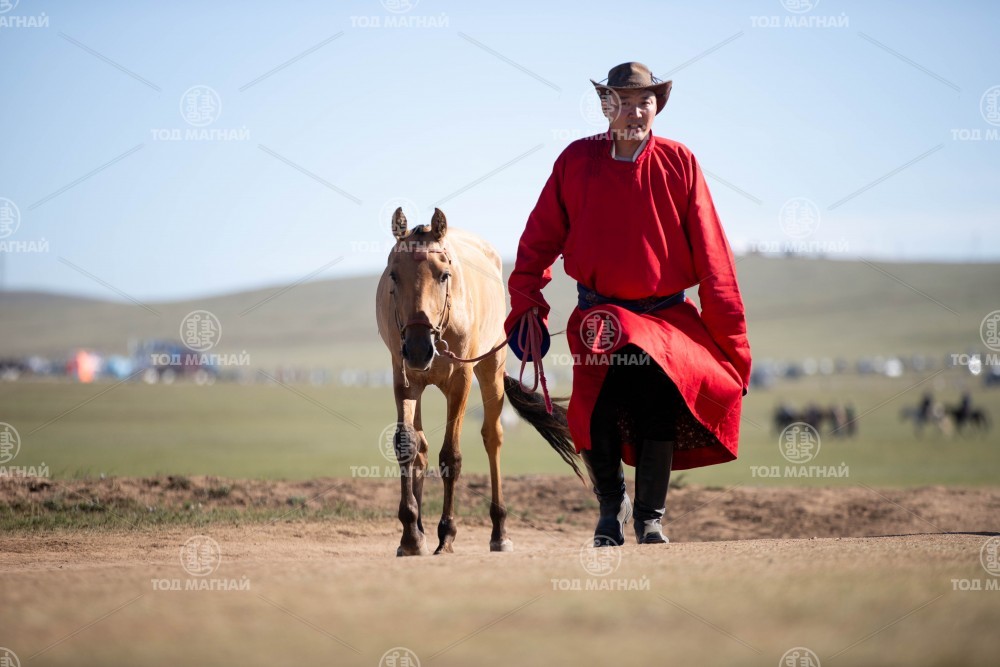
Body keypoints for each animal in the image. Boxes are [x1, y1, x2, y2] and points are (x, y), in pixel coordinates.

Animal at [375, 207, 582, 557]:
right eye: (394, 275)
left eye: (444, 275)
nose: (417, 348)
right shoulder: (403, 378)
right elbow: (407, 444)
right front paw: (411, 536)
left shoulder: (461, 380)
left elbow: (451, 456)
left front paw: (447, 535)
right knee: (422, 446)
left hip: (490, 370)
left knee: (492, 438)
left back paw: (499, 532)